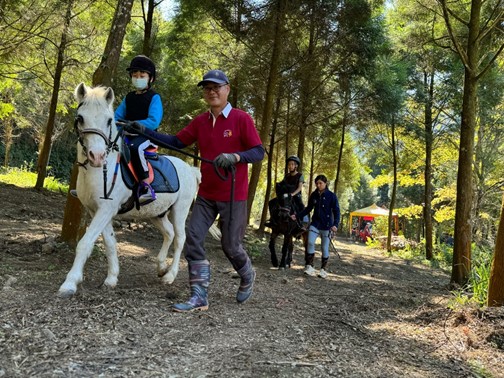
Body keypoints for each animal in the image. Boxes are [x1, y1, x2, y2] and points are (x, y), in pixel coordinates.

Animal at [59, 83, 201, 298]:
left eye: (109, 120)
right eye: (80, 118)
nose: (97, 156)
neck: (99, 170)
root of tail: (190, 169)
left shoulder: (106, 209)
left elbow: (85, 243)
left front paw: (70, 283)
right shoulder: (96, 210)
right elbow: (109, 243)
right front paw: (111, 279)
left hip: (180, 210)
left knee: (180, 239)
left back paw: (170, 275)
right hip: (157, 213)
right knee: (169, 233)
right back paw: (161, 267)